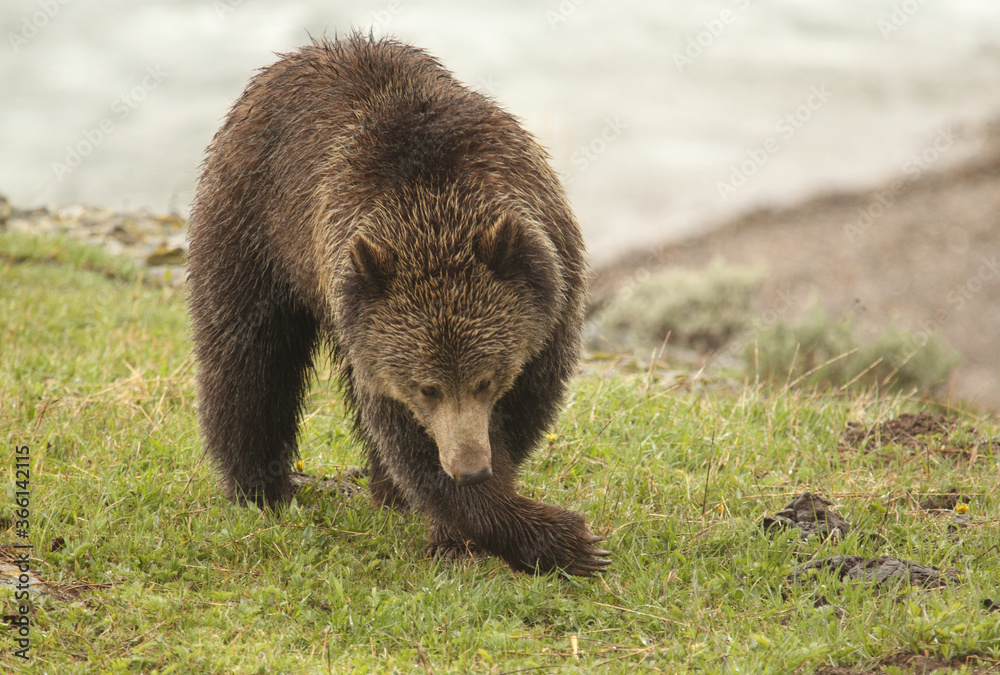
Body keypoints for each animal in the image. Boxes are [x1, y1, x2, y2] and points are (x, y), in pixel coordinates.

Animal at [187, 34, 610, 576]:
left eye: (485, 379)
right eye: (427, 388)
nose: (469, 469)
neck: (435, 209)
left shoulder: (549, 302)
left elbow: (524, 410)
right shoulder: (378, 338)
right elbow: (407, 441)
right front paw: (561, 537)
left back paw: (386, 491)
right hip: (253, 226)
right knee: (248, 360)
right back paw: (259, 488)